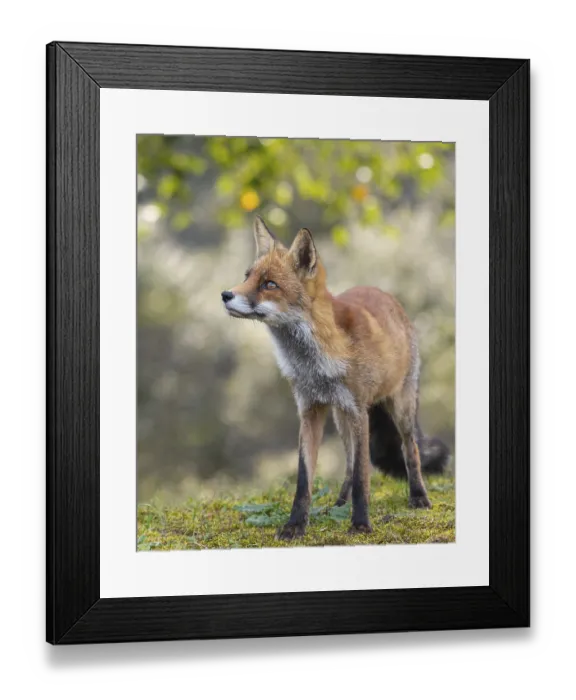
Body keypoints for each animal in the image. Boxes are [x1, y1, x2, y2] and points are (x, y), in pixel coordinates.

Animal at [222, 216, 450, 539]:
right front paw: (295, 526)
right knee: (349, 464)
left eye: (269, 285)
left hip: (398, 408)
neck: (316, 364)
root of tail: (385, 293)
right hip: (341, 419)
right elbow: (305, 479)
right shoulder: (310, 410)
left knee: (410, 450)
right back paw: (339, 504)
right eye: (247, 276)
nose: (225, 295)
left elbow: (364, 477)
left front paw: (361, 524)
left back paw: (418, 497)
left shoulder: (358, 411)